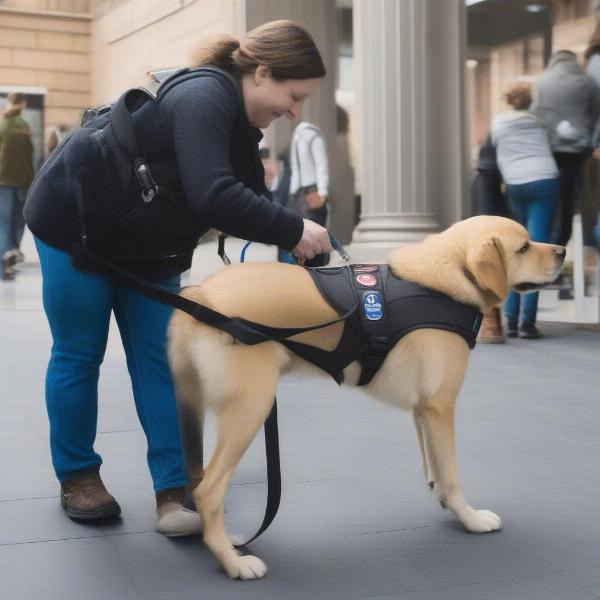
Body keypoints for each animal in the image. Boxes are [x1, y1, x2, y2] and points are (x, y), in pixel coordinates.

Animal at [169, 216, 568, 576]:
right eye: (523, 247)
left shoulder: (423, 410)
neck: (448, 280)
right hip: (250, 408)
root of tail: (201, 296)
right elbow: (451, 474)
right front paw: (470, 518)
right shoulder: (441, 406)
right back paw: (233, 563)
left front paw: (444, 500)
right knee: (208, 491)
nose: (563, 251)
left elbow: (434, 465)